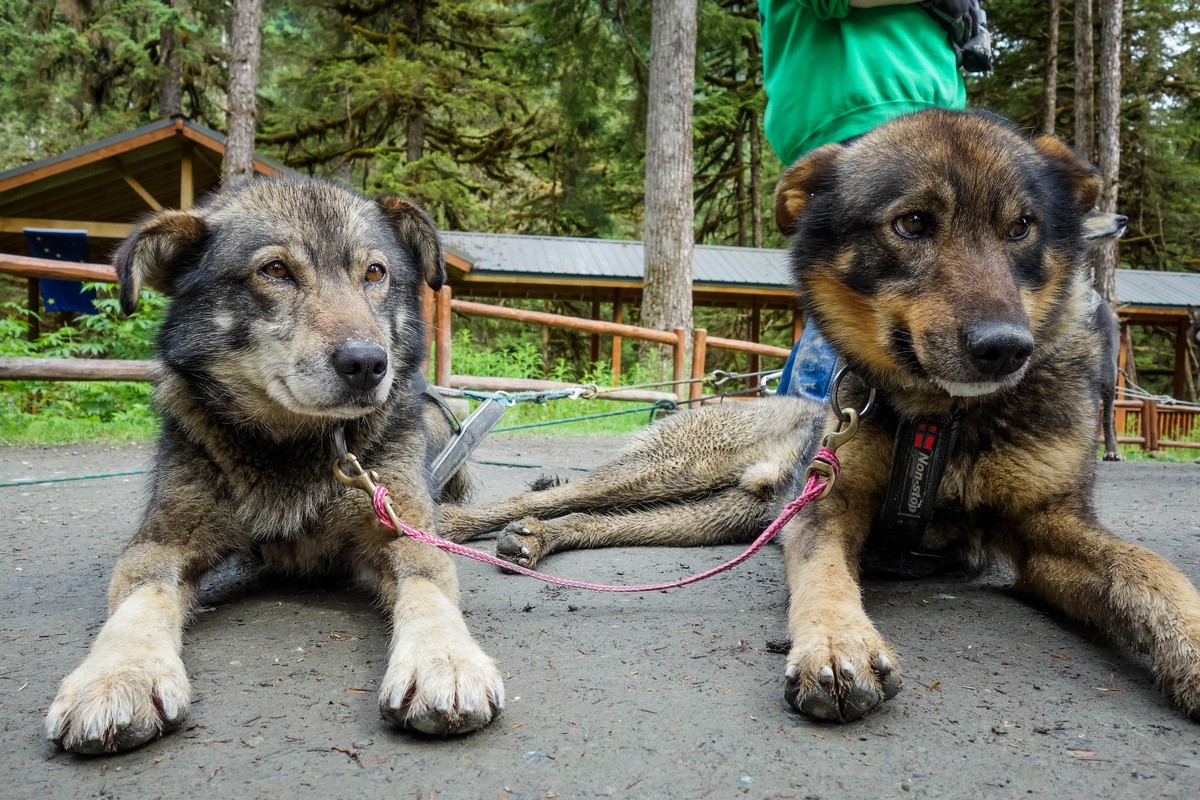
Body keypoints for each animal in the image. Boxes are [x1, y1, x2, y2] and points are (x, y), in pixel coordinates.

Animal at [441, 110, 1200, 724]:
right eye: (913, 223)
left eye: (1021, 228)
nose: (1005, 348)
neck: (941, 421)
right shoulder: (827, 508)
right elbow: (826, 579)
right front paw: (836, 645)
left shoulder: (1049, 530)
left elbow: (1152, 572)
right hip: (674, 473)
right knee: (555, 495)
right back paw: (453, 524)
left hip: (723, 515)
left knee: (599, 521)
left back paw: (540, 539)